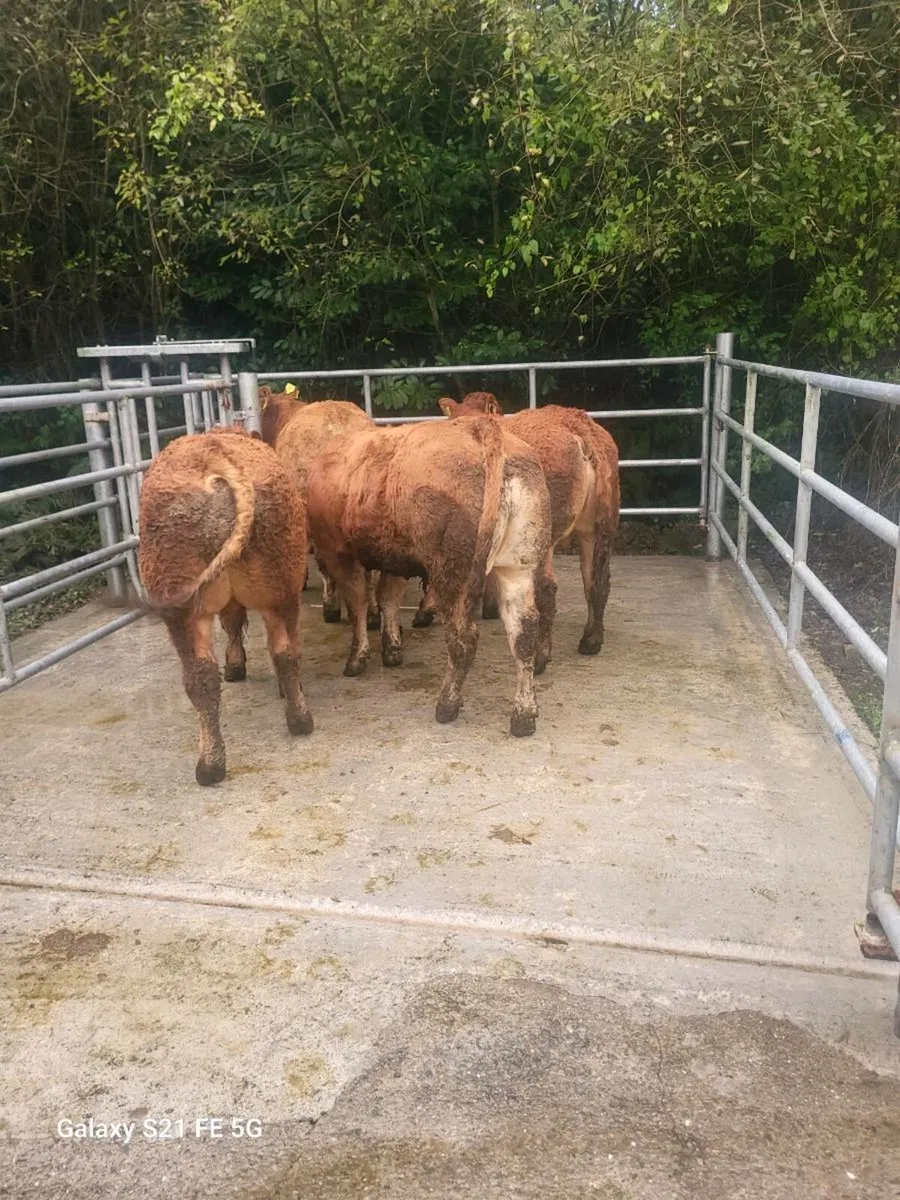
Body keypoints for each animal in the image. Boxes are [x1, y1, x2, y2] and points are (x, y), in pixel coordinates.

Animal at [139, 428, 313, 785]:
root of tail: (218, 455)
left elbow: (232, 623)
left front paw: (235, 665)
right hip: (273, 586)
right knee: (274, 654)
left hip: (191, 605)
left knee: (211, 672)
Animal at [306, 415, 554, 736]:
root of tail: (480, 427)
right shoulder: (395, 559)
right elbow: (388, 599)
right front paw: (392, 649)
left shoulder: (340, 554)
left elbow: (358, 603)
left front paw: (357, 659)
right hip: (516, 568)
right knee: (523, 633)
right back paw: (524, 715)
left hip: (453, 574)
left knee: (463, 638)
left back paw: (447, 705)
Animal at [435, 391, 620, 662]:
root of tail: (580, 427)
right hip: (596, 528)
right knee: (596, 581)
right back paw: (591, 640)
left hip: (542, 535)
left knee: (548, 589)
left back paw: (541, 656)